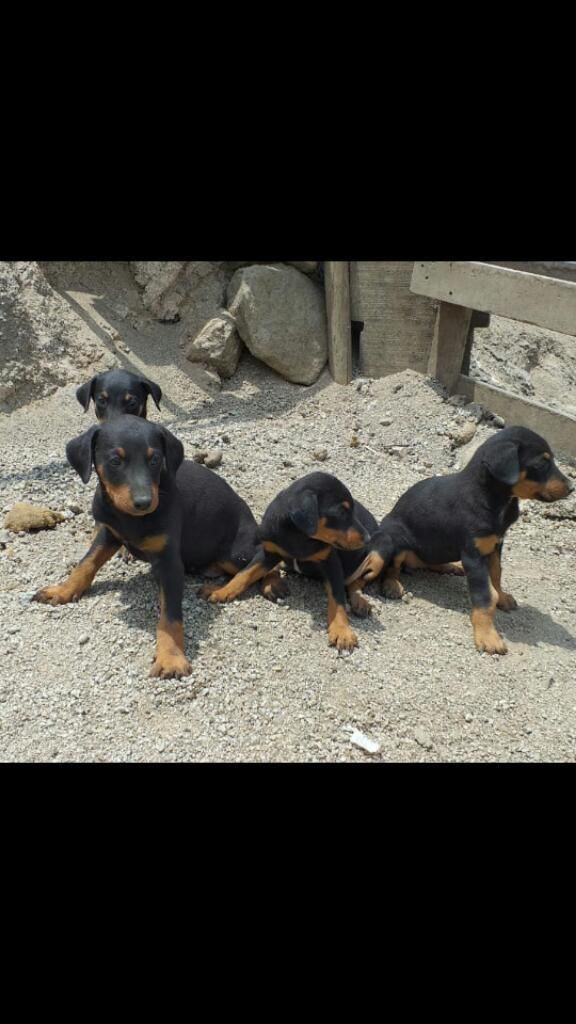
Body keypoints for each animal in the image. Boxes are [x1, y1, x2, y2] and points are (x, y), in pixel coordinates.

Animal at [199, 468, 368, 647]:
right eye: (341, 512)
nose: (368, 538)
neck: (299, 535)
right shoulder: (269, 552)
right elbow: (244, 574)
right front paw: (221, 592)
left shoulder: (331, 562)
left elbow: (338, 598)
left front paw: (341, 631)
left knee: (357, 581)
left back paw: (360, 602)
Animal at [348, 425, 569, 655]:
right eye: (541, 463)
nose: (571, 487)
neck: (493, 498)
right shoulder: (473, 555)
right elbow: (484, 597)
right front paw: (487, 635)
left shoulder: (495, 545)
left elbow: (496, 575)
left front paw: (502, 596)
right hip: (396, 537)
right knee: (394, 566)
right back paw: (392, 584)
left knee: (428, 563)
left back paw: (452, 567)